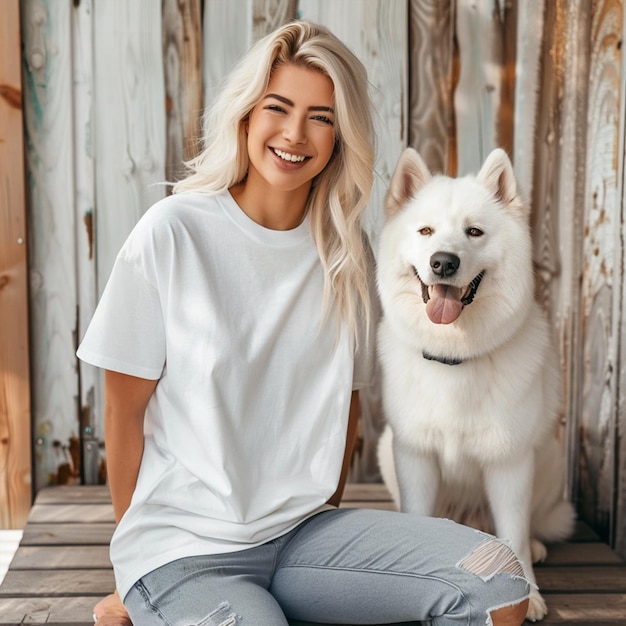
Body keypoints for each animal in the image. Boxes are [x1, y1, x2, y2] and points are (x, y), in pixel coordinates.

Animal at [376, 146, 576, 620]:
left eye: (474, 232)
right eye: (426, 231)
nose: (443, 262)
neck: (455, 356)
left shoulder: (509, 463)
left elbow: (514, 533)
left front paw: (528, 596)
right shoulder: (415, 456)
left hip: (550, 457)